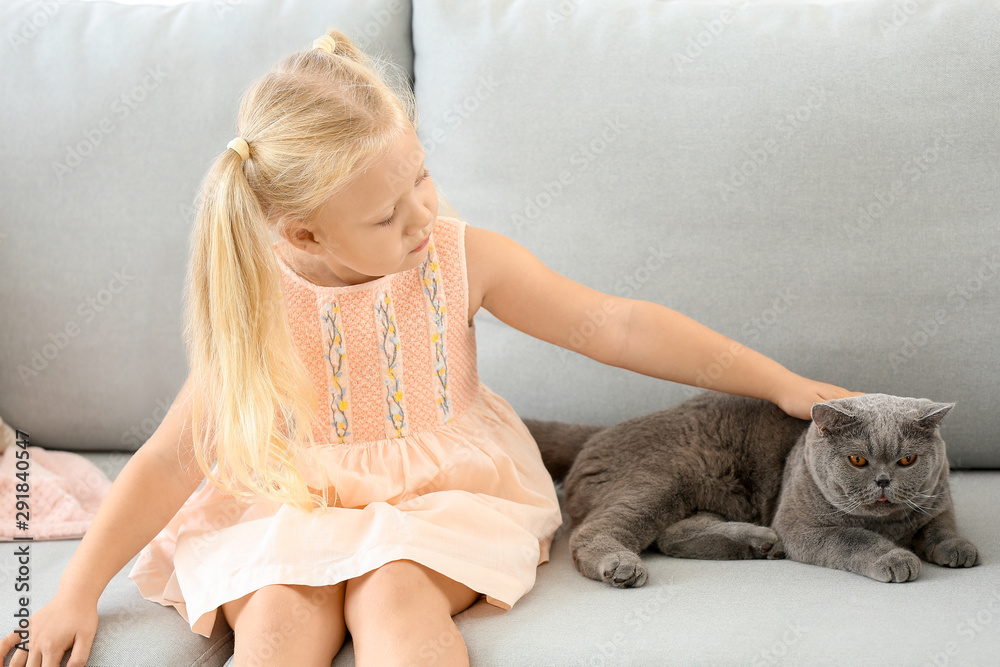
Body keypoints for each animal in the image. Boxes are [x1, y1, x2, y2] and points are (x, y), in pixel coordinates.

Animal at [528, 392, 980, 588]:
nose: (883, 481)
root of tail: (598, 431)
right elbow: (855, 539)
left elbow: (941, 527)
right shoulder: (802, 526)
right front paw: (895, 558)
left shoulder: (938, 501)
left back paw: (759, 542)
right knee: (593, 533)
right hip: (657, 482)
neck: (885, 523)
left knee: (673, 535)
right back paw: (621, 567)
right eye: (857, 461)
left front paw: (959, 549)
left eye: (907, 461)